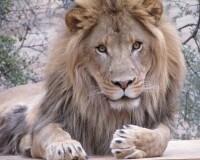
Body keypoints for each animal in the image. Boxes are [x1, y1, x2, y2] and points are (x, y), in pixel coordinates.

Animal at [0, 0, 186, 159]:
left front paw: (131, 141)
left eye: (136, 45)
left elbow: (161, 137)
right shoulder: (48, 119)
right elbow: (53, 132)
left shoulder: (161, 118)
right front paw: (65, 146)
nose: (123, 83)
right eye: (101, 49)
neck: (113, 113)